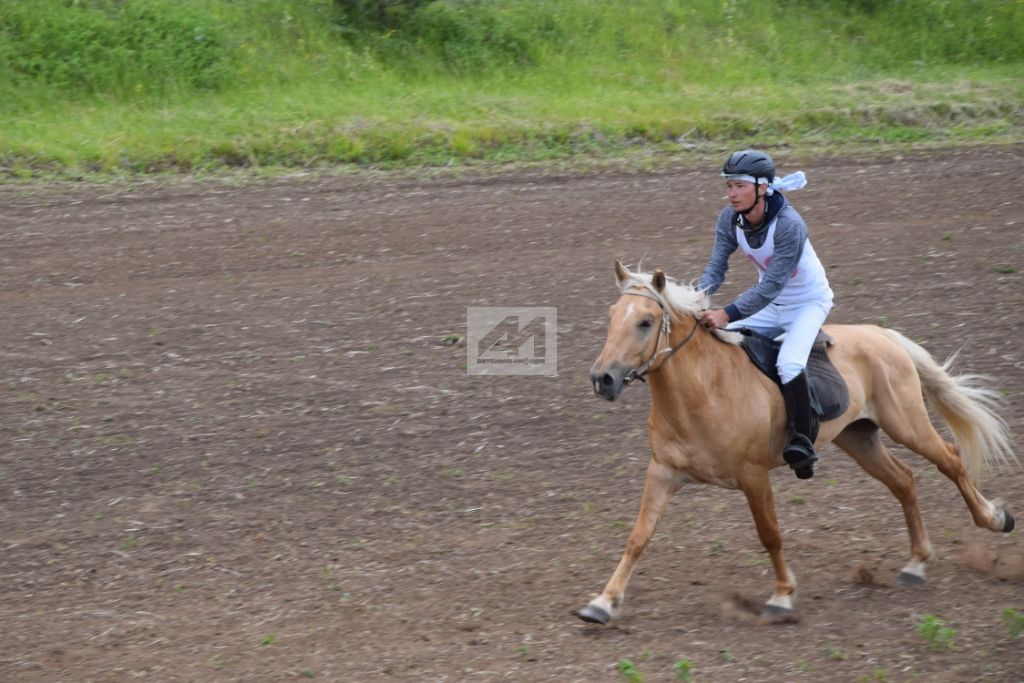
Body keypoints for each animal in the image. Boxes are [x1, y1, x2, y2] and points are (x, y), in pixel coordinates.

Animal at [577, 262, 1015, 626]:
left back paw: (995, 518)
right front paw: (602, 603)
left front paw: (782, 597)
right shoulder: (663, 472)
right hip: (859, 438)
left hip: (907, 425)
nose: (603, 379)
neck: (703, 389)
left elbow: (769, 533)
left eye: (646, 321)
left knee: (950, 460)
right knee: (904, 480)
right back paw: (916, 563)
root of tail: (882, 333)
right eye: (612, 317)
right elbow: (638, 536)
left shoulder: (753, 476)